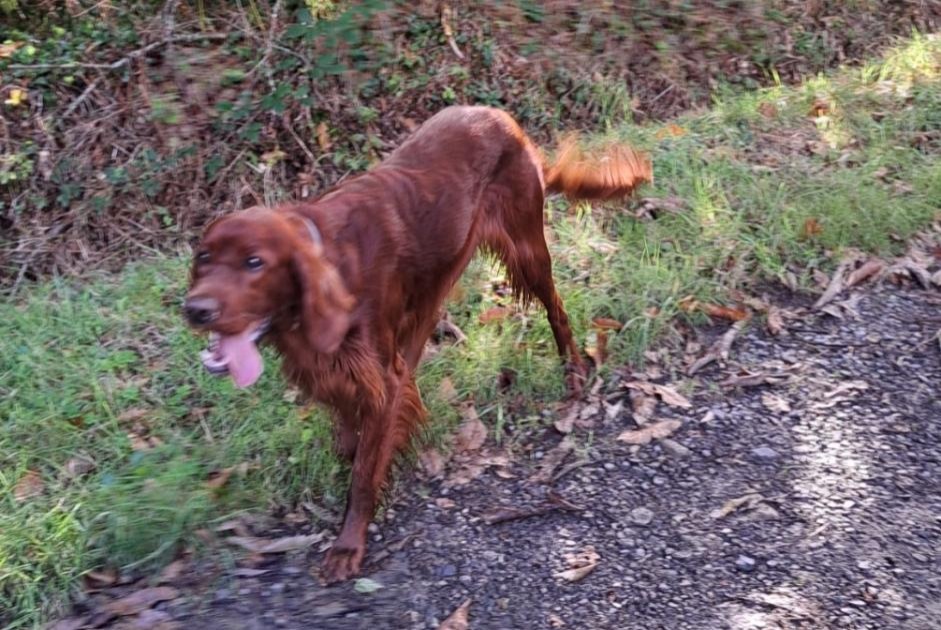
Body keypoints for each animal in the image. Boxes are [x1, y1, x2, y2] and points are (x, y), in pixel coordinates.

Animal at [185, 106, 652, 584]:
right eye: (204, 257)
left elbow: (364, 470)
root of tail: (505, 120)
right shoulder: (339, 369)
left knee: (556, 307)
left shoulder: (375, 378)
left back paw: (573, 369)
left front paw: (348, 544)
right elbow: (351, 434)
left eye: (254, 262)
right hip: (439, 276)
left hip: (526, 248)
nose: (195, 310)